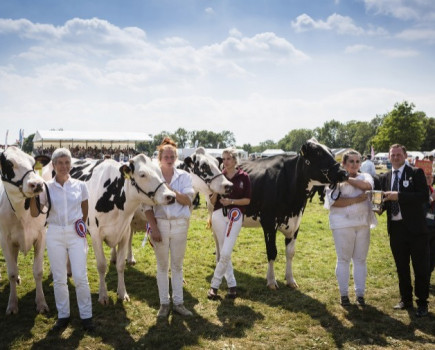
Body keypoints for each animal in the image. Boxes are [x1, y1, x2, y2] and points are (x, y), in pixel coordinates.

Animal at [0, 146, 49, 316]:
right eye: (8, 163)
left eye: (33, 163)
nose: (37, 184)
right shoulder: (5, 240)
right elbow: (11, 272)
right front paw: (12, 304)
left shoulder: (41, 236)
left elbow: (38, 271)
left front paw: (41, 303)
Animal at [238, 138, 348, 288]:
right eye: (318, 153)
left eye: (331, 152)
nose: (344, 173)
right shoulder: (268, 222)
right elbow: (272, 252)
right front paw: (271, 281)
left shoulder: (296, 223)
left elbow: (290, 253)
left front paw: (290, 279)